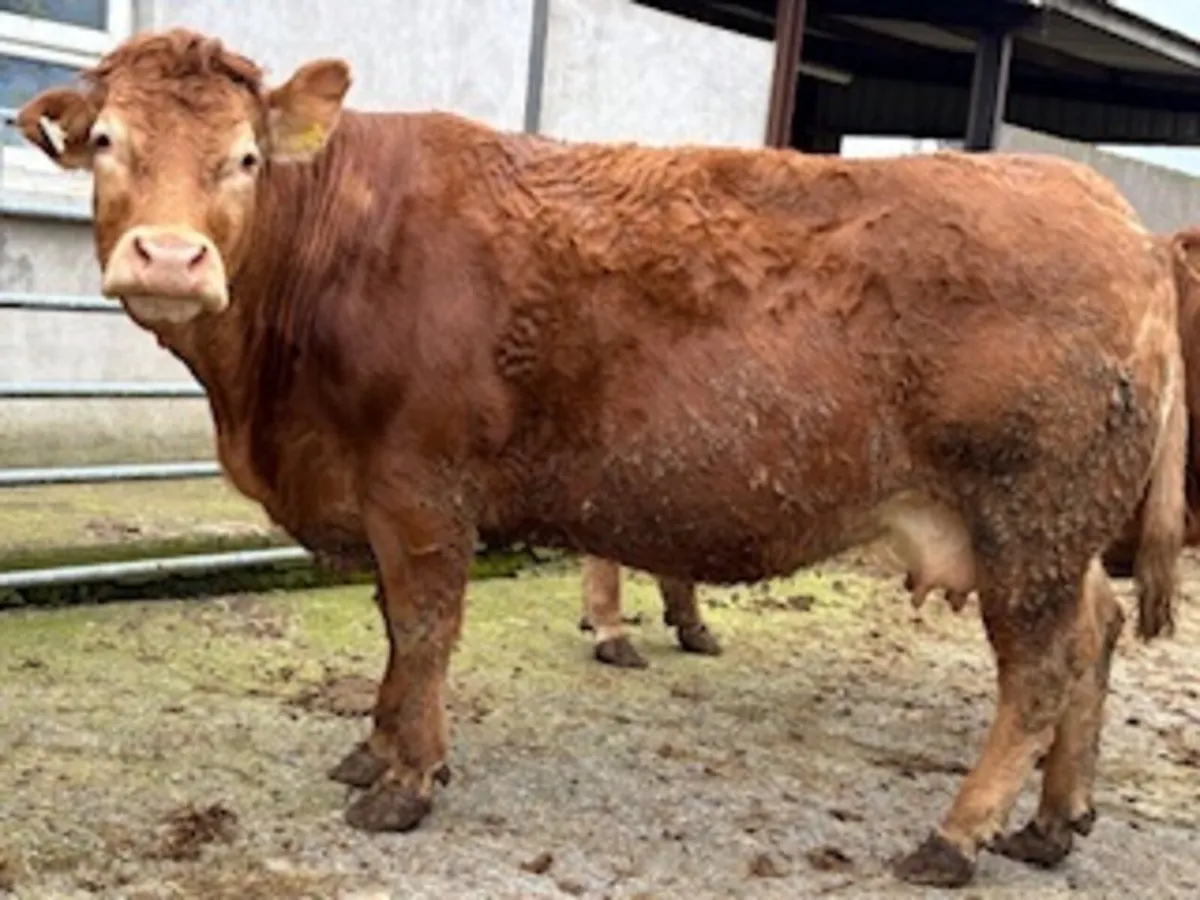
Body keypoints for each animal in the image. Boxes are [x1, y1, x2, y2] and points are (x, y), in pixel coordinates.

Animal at [17, 28, 1187, 888]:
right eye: (108, 142)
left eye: (247, 158)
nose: (171, 257)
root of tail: (1115, 216)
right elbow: (396, 630)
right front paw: (373, 747)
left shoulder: (419, 489)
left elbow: (425, 629)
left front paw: (403, 782)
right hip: (1052, 532)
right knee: (1094, 635)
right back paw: (1052, 822)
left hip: (1030, 517)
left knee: (1039, 672)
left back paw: (956, 836)